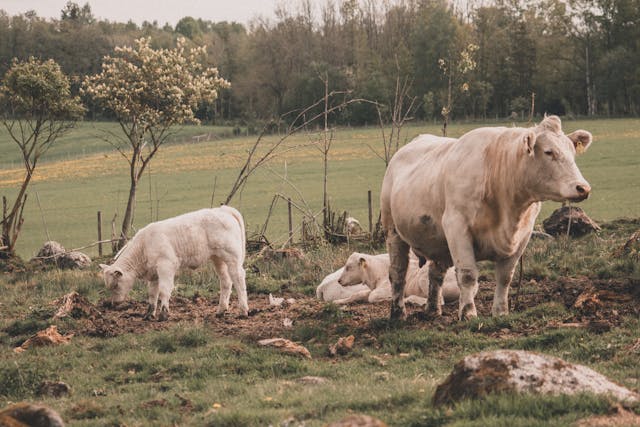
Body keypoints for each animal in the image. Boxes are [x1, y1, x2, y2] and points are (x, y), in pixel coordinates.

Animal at [99, 206, 249, 321]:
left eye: (115, 285)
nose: (114, 304)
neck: (144, 246)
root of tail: (223, 209)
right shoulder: (154, 274)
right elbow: (152, 294)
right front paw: (149, 314)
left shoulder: (166, 266)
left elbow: (164, 290)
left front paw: (163, 314)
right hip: (218, 258)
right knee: (226, 280)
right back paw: (221, 311)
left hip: (232, 256)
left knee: (238, 277)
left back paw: (243, 310)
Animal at [380, 116, 593, 320]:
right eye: (549, 152)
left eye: (572, 152)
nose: (583, 188)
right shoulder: (457, 227)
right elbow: (467, 275)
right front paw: (468, 313)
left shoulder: (523, 235)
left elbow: (505, 277)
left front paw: (500, 312)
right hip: (393, 231)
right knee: (397, 272)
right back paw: (398, 313)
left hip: (437, 240)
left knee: (435, 273)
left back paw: (433, 310)